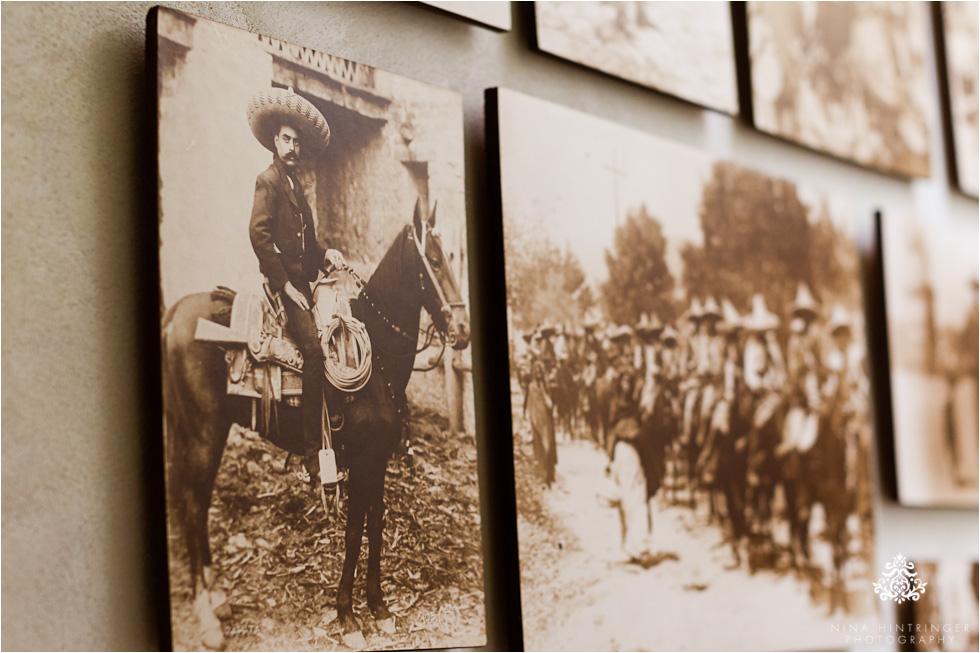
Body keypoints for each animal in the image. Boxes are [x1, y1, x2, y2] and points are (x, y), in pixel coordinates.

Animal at [163, 202, 468, 648]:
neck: (379, 359)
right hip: (205, 434)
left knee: (193, 504)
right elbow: (356, 530)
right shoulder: (361, 459)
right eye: (434, 258)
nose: (462, 331)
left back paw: (216, 599)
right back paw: (207, 614)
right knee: (193, 505)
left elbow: (376, 524)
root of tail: (174, 316)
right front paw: (348, 615)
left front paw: (378, 607)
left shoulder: (377, 461)